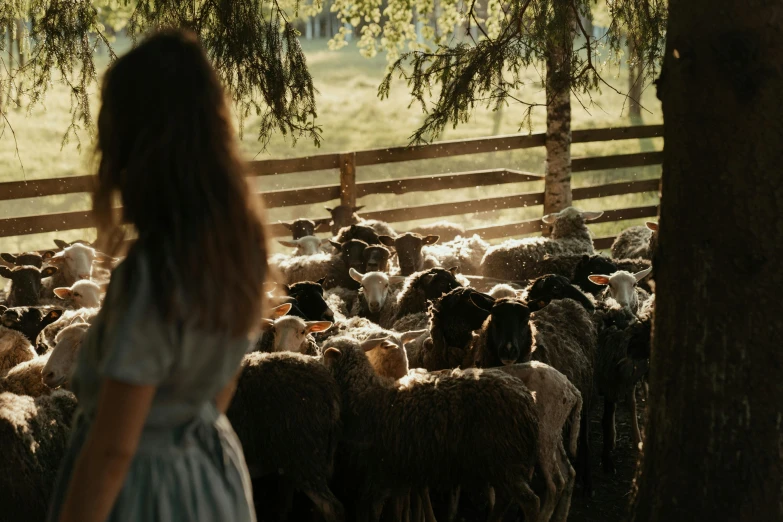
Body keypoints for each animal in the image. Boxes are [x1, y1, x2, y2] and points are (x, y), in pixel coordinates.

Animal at [318, 338, 540, 520]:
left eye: (322, 352)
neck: (365, 394)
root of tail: (527, 398)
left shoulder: (378, 470)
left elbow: (372, 509)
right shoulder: (397, 470)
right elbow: (395, 507)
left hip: (504, 455)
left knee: (530, 502)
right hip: (501, 460)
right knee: (505, 499)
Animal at [500, 362, 584, 522]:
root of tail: (572, 389)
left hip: (544, 433)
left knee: (556, 482)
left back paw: (543, 516)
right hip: (554, 433)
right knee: (569, 472)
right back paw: (560, 516)